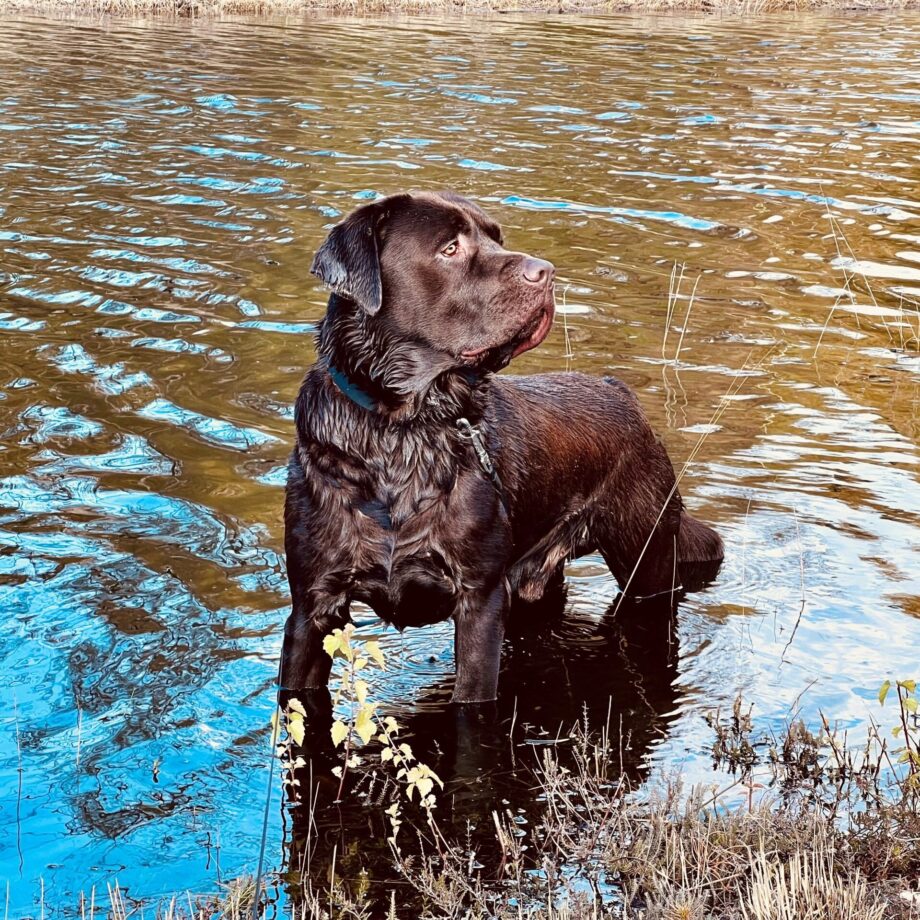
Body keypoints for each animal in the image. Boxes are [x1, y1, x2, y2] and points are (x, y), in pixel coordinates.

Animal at [284, 190, 724, 700]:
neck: (403, 432)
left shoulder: (480, 599)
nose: (546, 271)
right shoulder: (312, 605)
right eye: (449, 248)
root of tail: (621, 391)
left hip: (646, 559)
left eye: (497, 237)